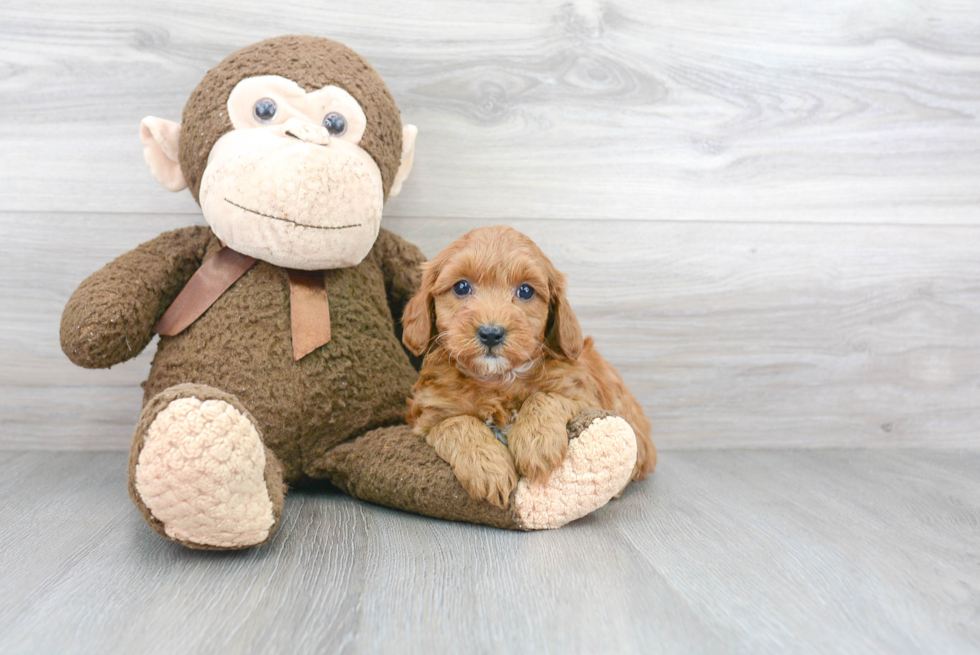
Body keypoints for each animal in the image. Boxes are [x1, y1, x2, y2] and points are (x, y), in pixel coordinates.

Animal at [402, 228, 656, 510]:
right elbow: (457, 423)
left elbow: (544, 397)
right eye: (461, 287)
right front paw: (488, 467)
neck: (497, 379)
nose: (491, 333)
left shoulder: (586, 397)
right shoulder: (427, 415)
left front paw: (536, 443)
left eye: (525, 291)